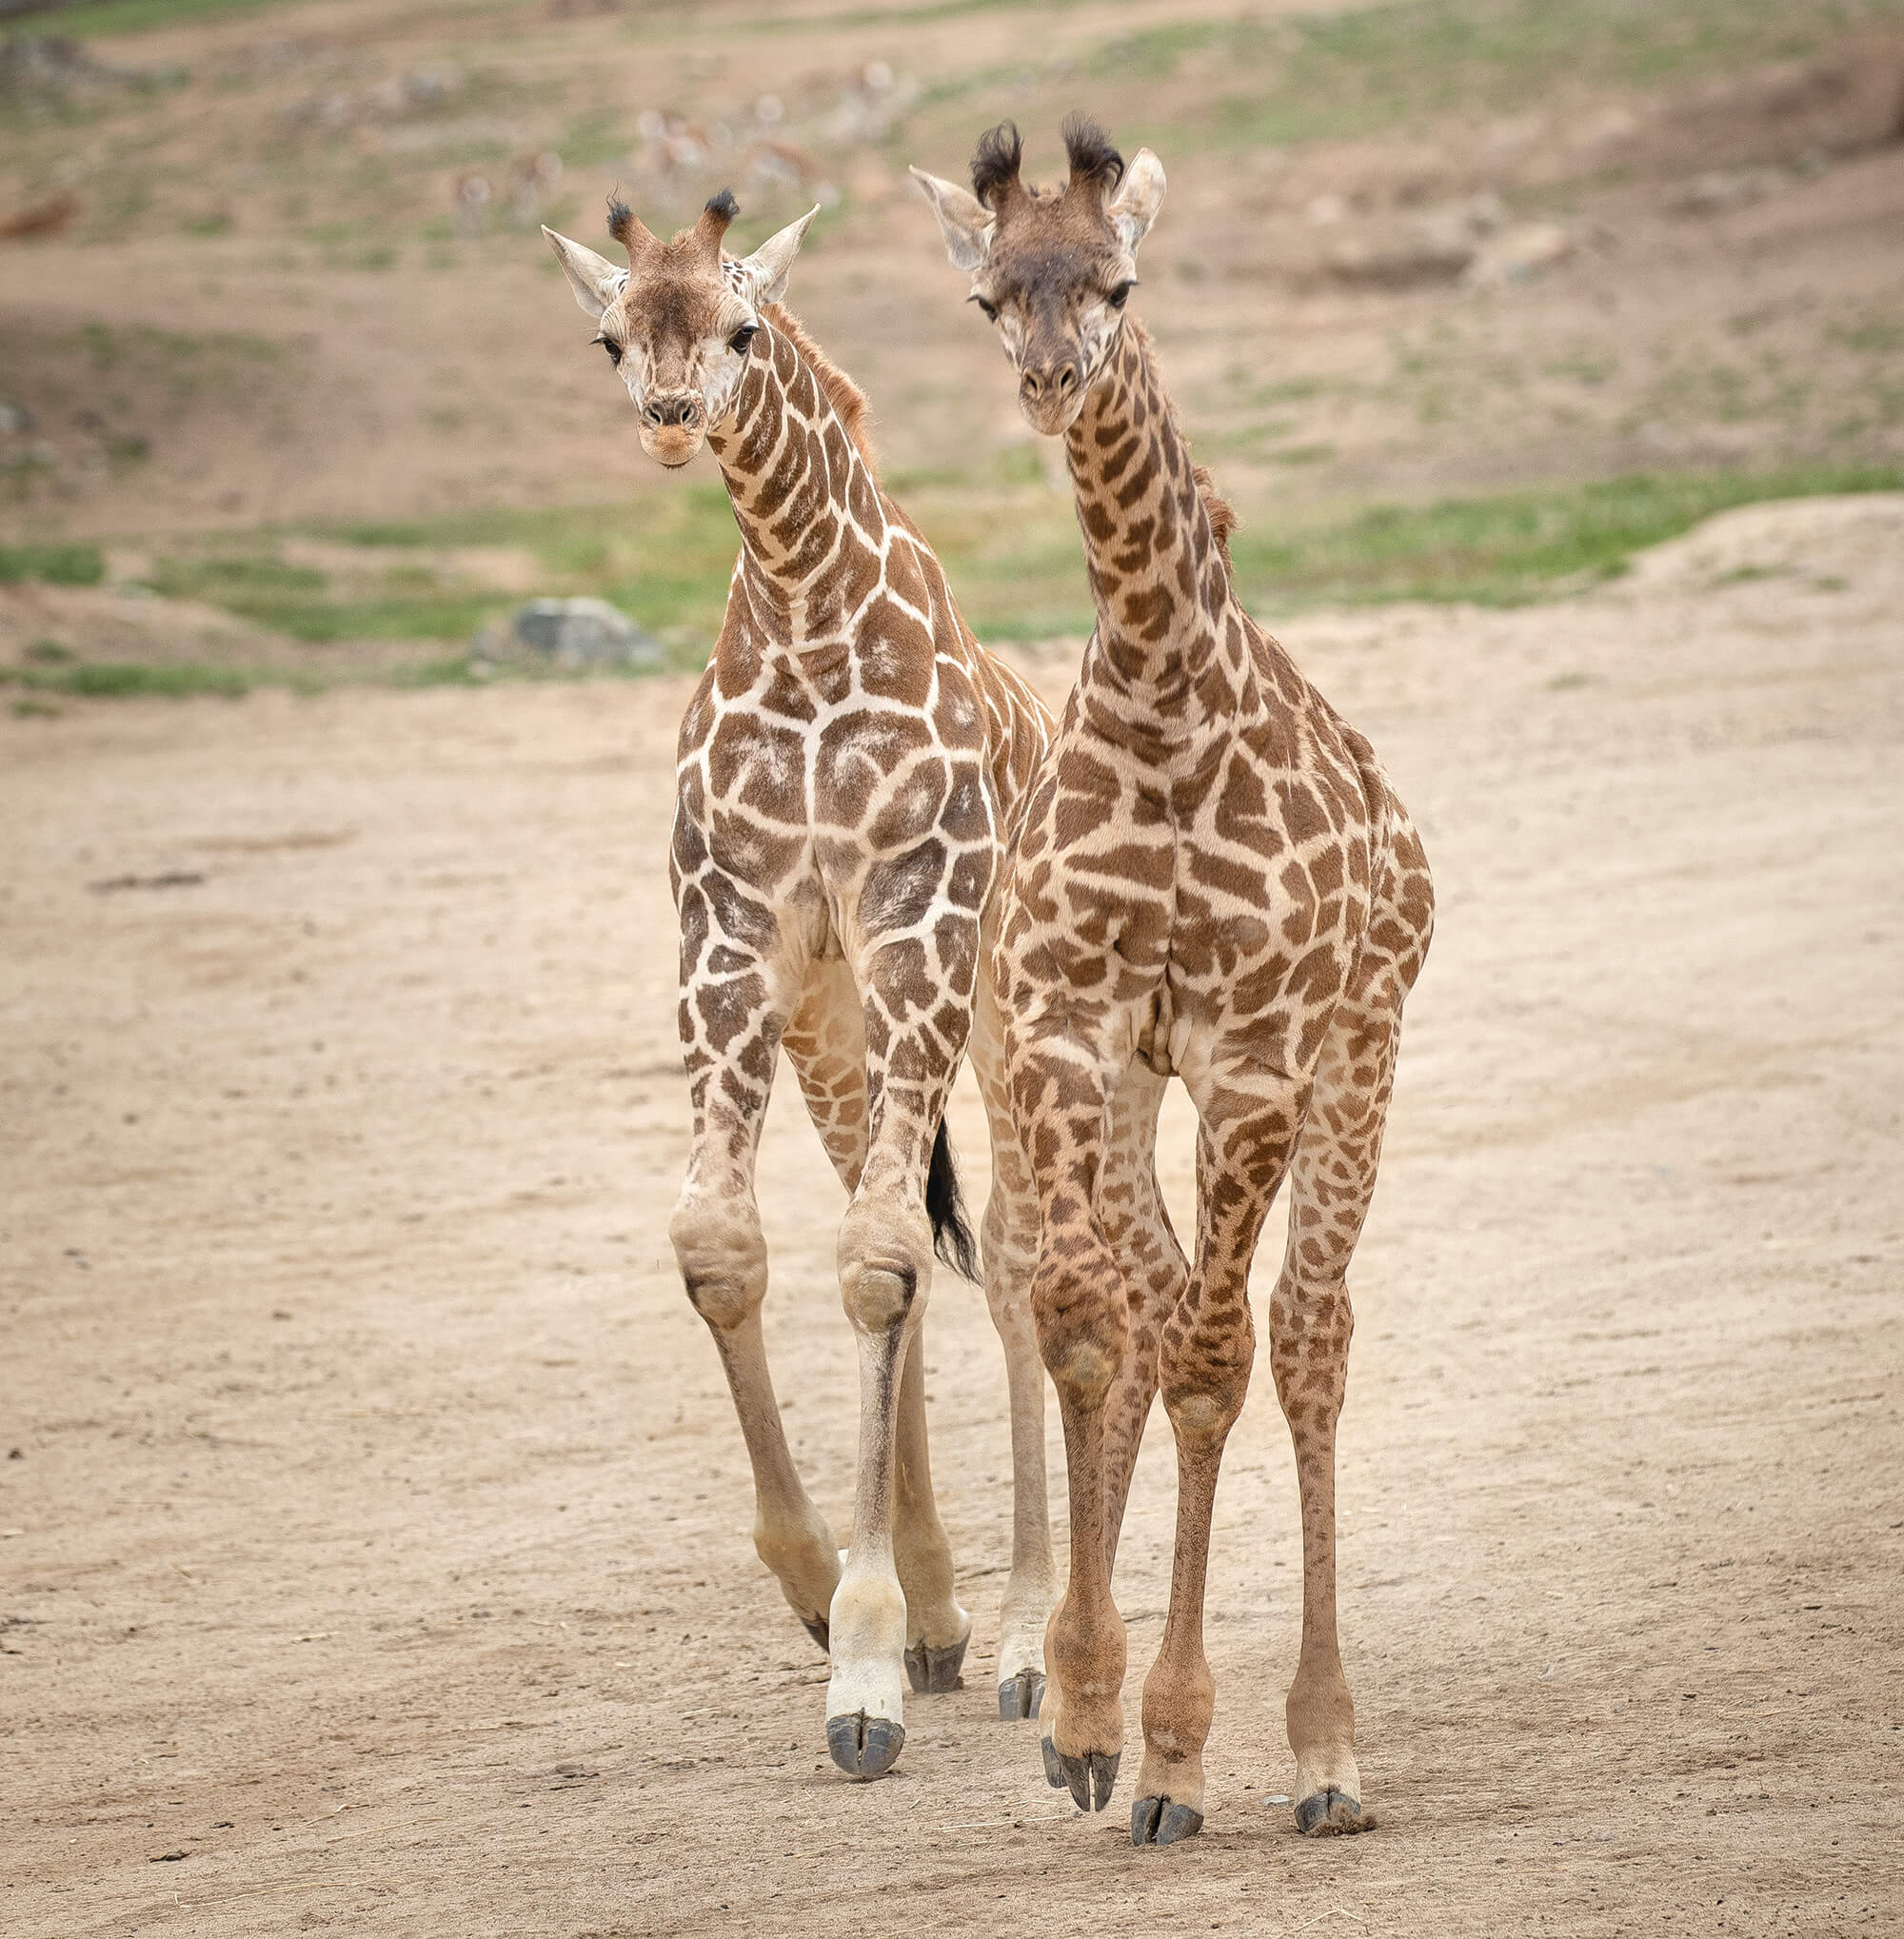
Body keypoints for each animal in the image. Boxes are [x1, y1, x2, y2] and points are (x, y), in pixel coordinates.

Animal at [543, 192, 1062, 1775]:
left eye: (743, 328)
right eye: (613, 335)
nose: (669, 416)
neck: (805, 610)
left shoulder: (920, 923)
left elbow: (886, 1257)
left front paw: (866, 1672)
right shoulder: (733, 937)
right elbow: (734, 1245)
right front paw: (828, 1585)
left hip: (1013, 1018)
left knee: (1024, 1260)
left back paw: (1028, 1644)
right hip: (842, 1030)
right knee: (911, 1236)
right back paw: (954, 1617)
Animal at [915, 121, 1435, 1846]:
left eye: (1119, 281)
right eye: (991, 292)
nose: (1052, 376)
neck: (1160, 690)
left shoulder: (1260, 1059)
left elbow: (1214, 1367)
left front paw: (1176, 1746)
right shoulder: (1063, 1035)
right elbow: (1096, 1329)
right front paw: (1086, 1712)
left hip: (1361, 1056)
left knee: (1306, 1338)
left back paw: (1325, 1753)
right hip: (1154, 1085)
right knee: (1158, 1303)